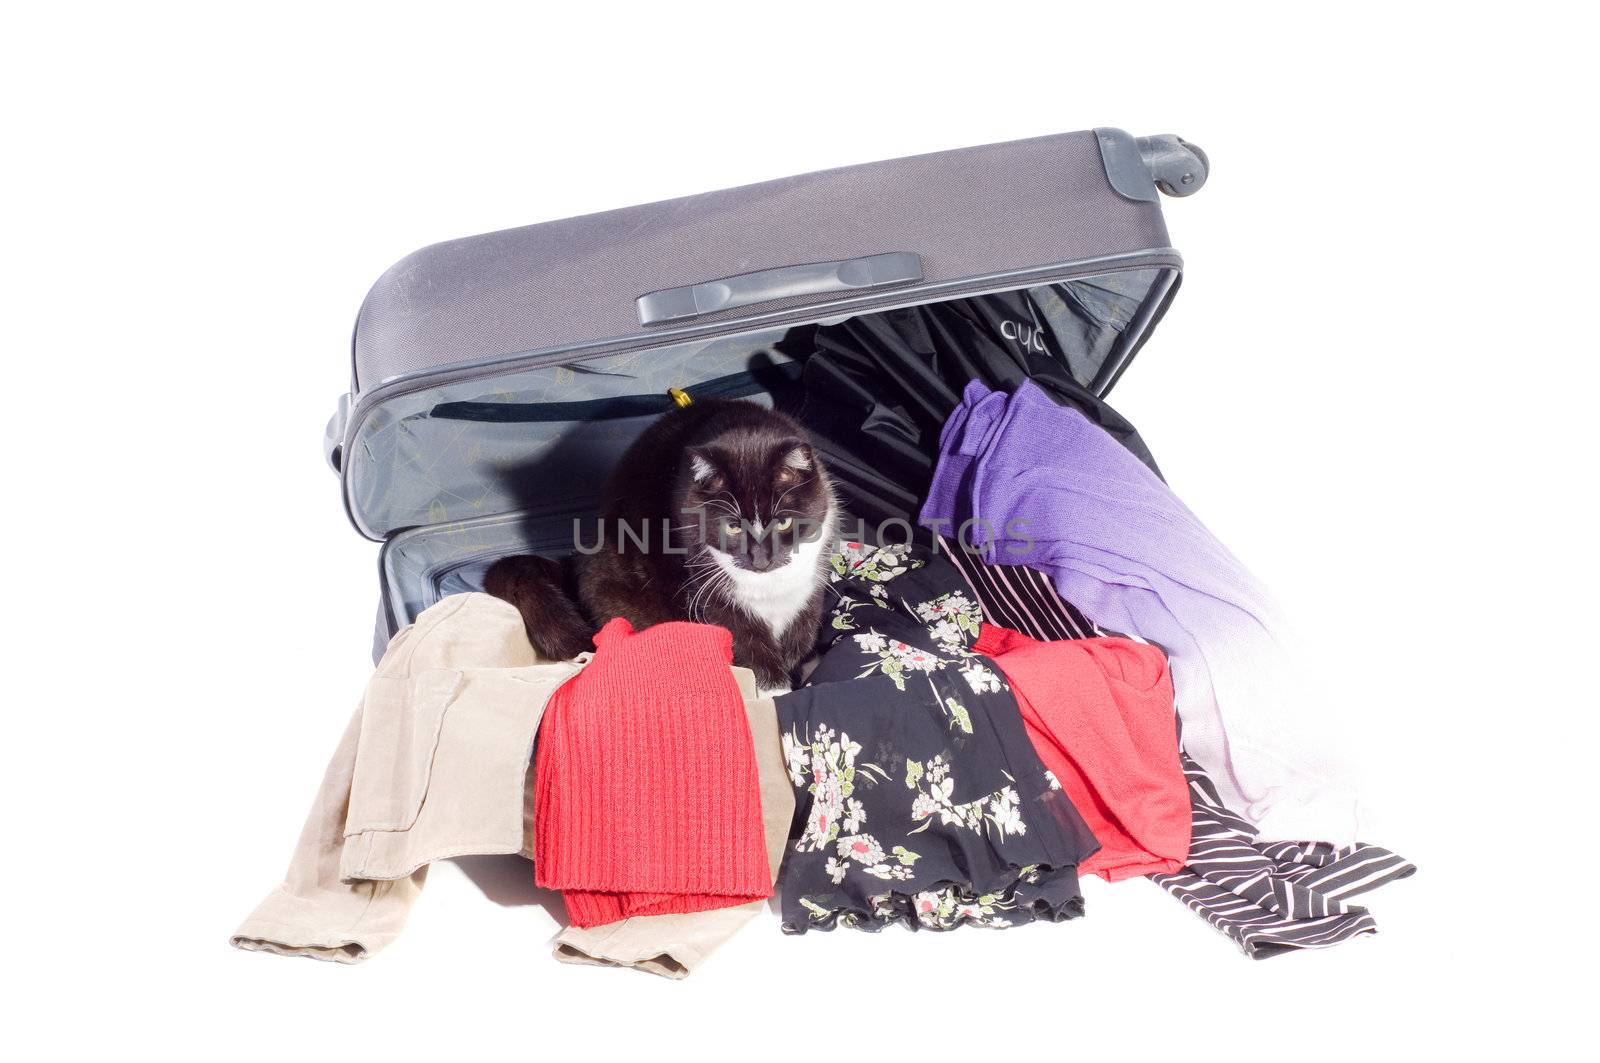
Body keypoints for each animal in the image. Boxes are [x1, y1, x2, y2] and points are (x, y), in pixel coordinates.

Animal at [483, 398, 838, 688]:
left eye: (784, 522)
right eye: (733, 526)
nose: (761, 559)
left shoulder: (813, 575)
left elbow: (802, 630)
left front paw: (798, 668)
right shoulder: (704, 583)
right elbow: (744, 638)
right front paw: (775, 691)